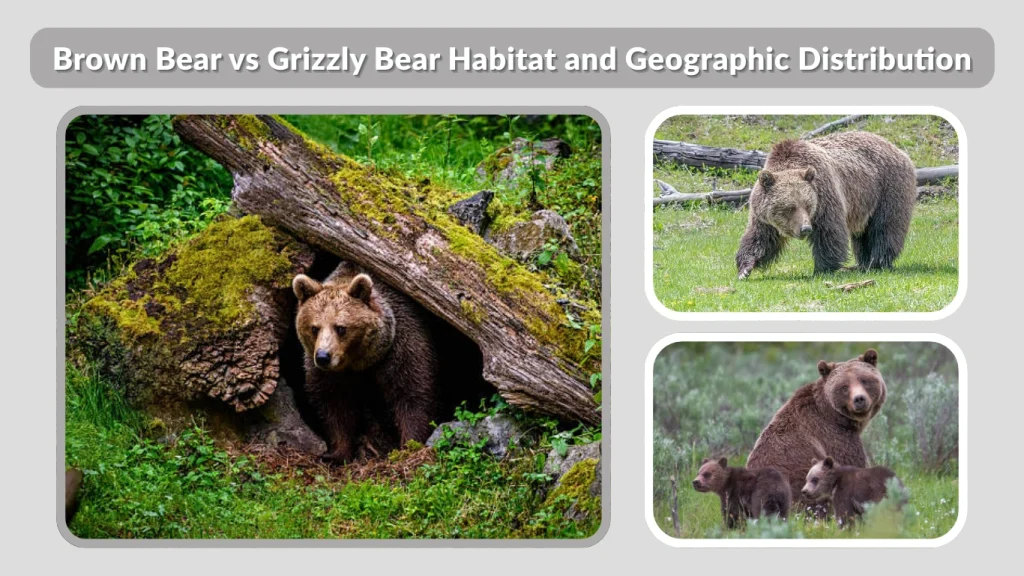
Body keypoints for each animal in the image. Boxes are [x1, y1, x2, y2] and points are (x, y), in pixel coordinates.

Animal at [292, 261, 440, 464]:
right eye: (315, 328)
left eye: (341, 328)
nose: (323, 357)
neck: (359, 362)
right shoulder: (327, 373)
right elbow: (334, 404)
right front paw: (335, 453)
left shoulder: (401, 345)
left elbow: (412, 392)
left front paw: (409, 444)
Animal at [735, 131, 917, 279]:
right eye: (789, 208)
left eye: (807, 205)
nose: (805, 228)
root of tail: (898, 150)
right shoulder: (763, 216)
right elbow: (760, 237)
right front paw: (745, 269)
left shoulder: (824, 197)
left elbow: (829, 233)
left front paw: (821, 269)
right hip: (865, 201)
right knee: (862, 235)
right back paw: (863, 263)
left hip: (887, 187)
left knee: (885, 227)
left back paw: (877, 261)